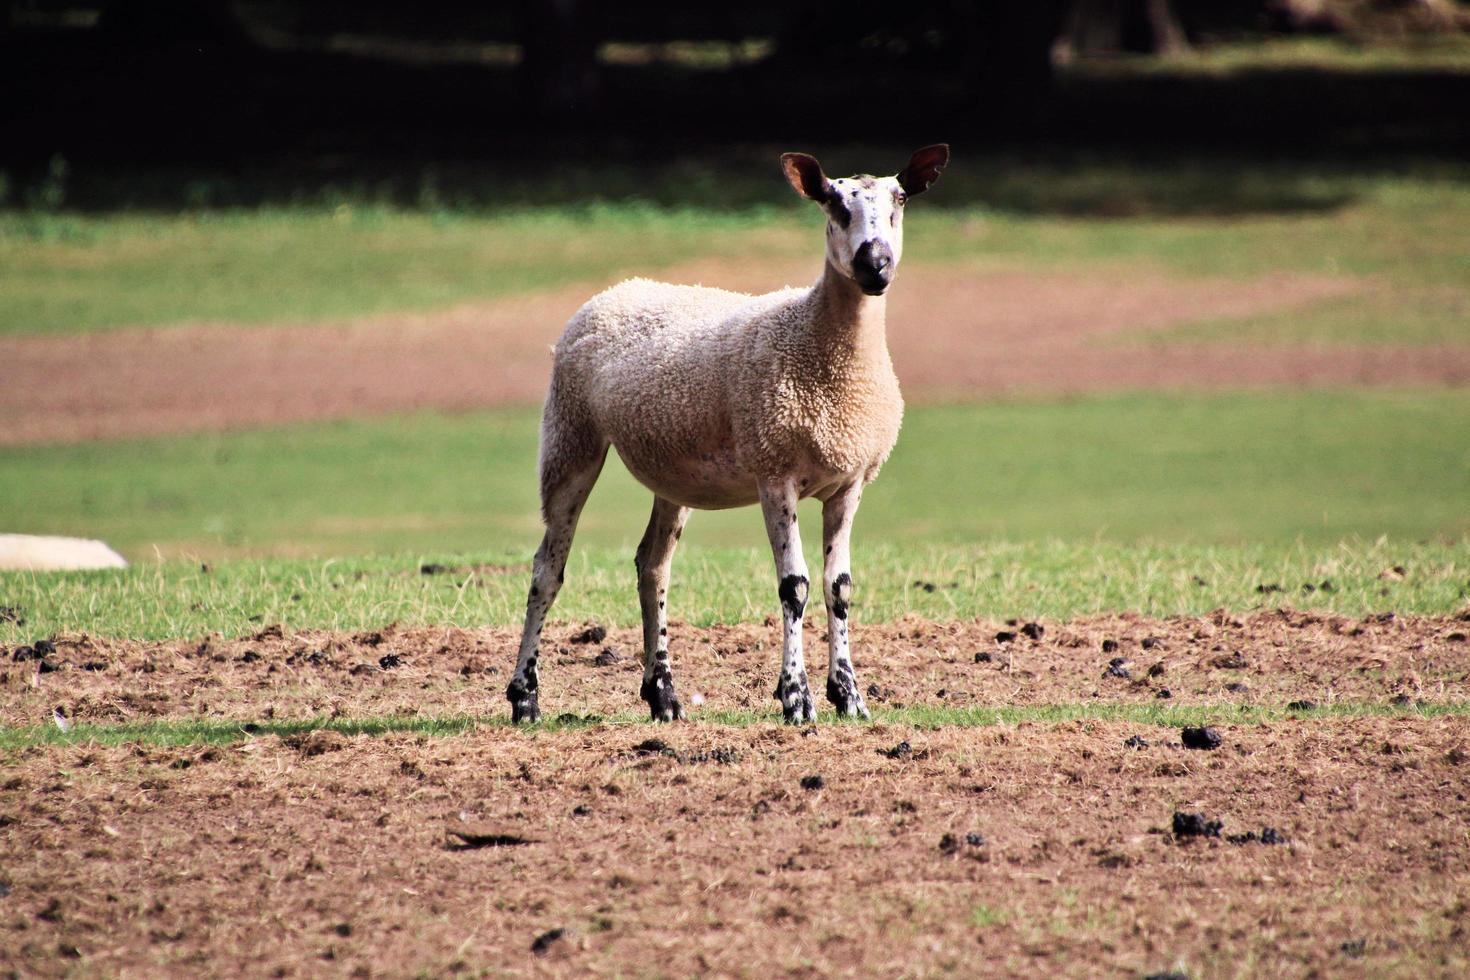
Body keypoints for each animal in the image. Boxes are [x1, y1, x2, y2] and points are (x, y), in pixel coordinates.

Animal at [508, 147, 952, 728]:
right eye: (833, 204)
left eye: (899, 200)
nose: (875, 265)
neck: (824, 344)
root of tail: (620, 286)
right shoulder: (774, 471)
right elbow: (795, 586)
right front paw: (796, 699)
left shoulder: (850, 481)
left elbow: (838, 588)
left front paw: (850, 696)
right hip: (570, 432)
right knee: (547, 569)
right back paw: (525, 697)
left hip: (671, 472)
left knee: (652, 566)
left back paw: (663, 696)